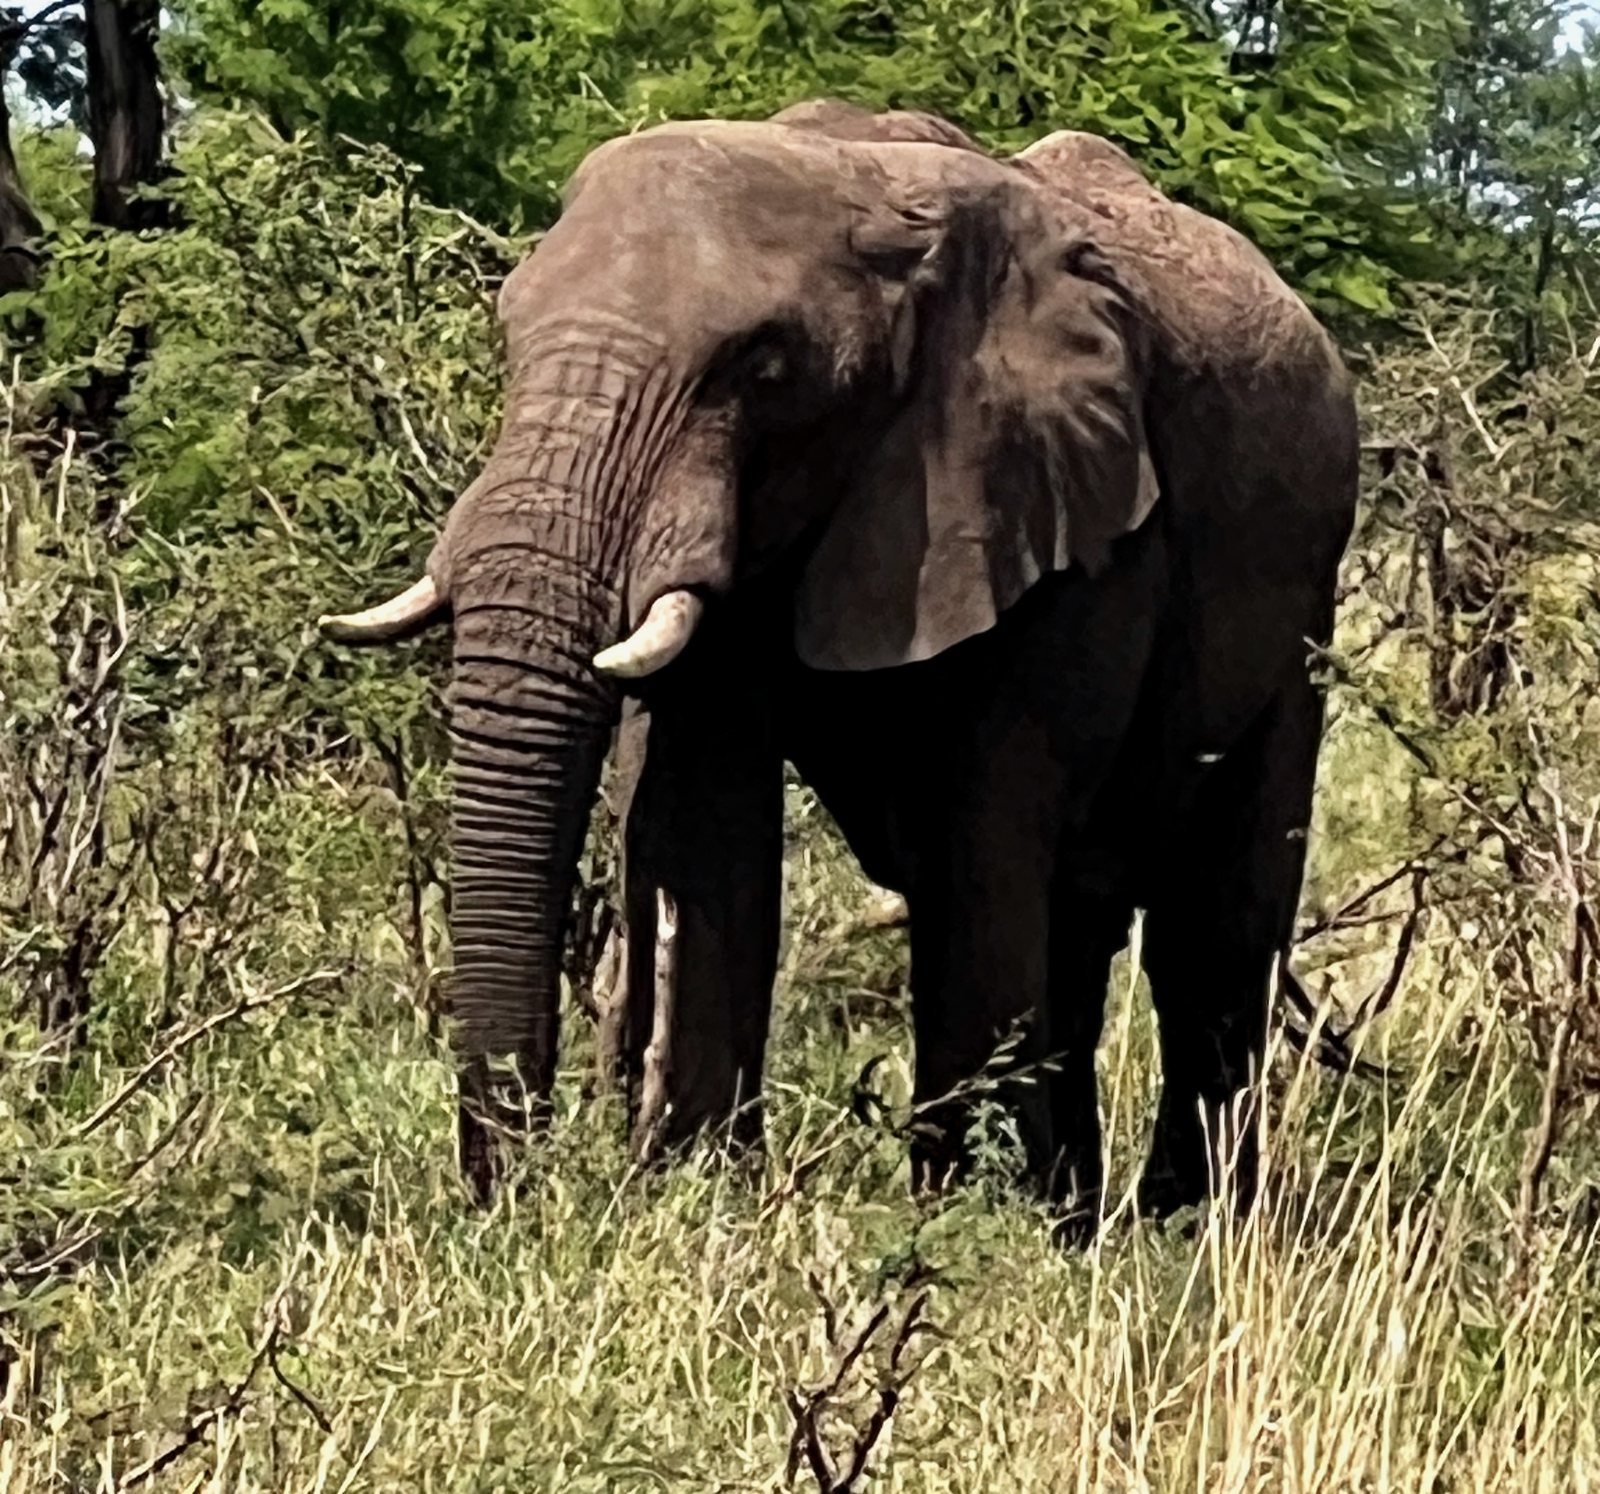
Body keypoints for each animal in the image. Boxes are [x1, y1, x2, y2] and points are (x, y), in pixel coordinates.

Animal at [320, 99, 1359, 1231]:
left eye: (763, 371)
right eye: (509, 338)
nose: (514, 1198)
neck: (858, 180)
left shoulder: (1064, 514)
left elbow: (982, 840)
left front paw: (964, 1228)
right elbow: (709, 823)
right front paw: (700, 1198)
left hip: (1304, 599)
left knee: (1212, 933)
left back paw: (1186, 1229)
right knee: (1085, 921)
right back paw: (1078, 1219)